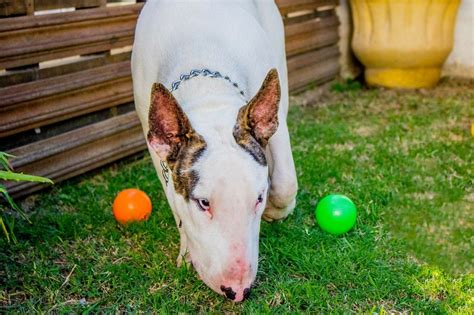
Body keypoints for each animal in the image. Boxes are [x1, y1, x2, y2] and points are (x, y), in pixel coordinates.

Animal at [131, 0, 296, 302]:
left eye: (258, 198)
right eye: (203, 203)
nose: (237, 290)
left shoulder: (273, 123)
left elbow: (284, 183)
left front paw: (276, 211)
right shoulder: (156, 148)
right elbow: (175, 204)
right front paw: (187, 253)